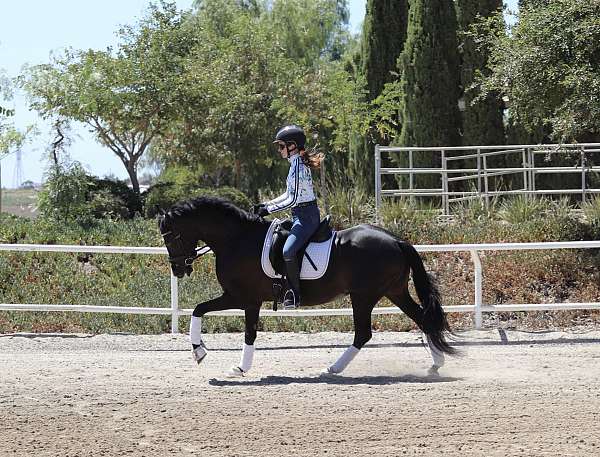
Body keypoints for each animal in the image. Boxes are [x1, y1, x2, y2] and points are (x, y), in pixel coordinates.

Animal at [159, 196, 454, 378]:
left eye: (171, 236)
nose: (178, 269)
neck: (236, 240)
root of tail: (396, 240)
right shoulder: (241, 299)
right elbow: (204, 312)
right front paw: (207, 355)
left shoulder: (243, 298)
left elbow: (229, 324)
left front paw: (216, 359)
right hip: (394, 292)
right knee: (422, 319)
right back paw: (436, 365)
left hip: (364, 296)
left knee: (363, 333)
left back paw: (332, 369)